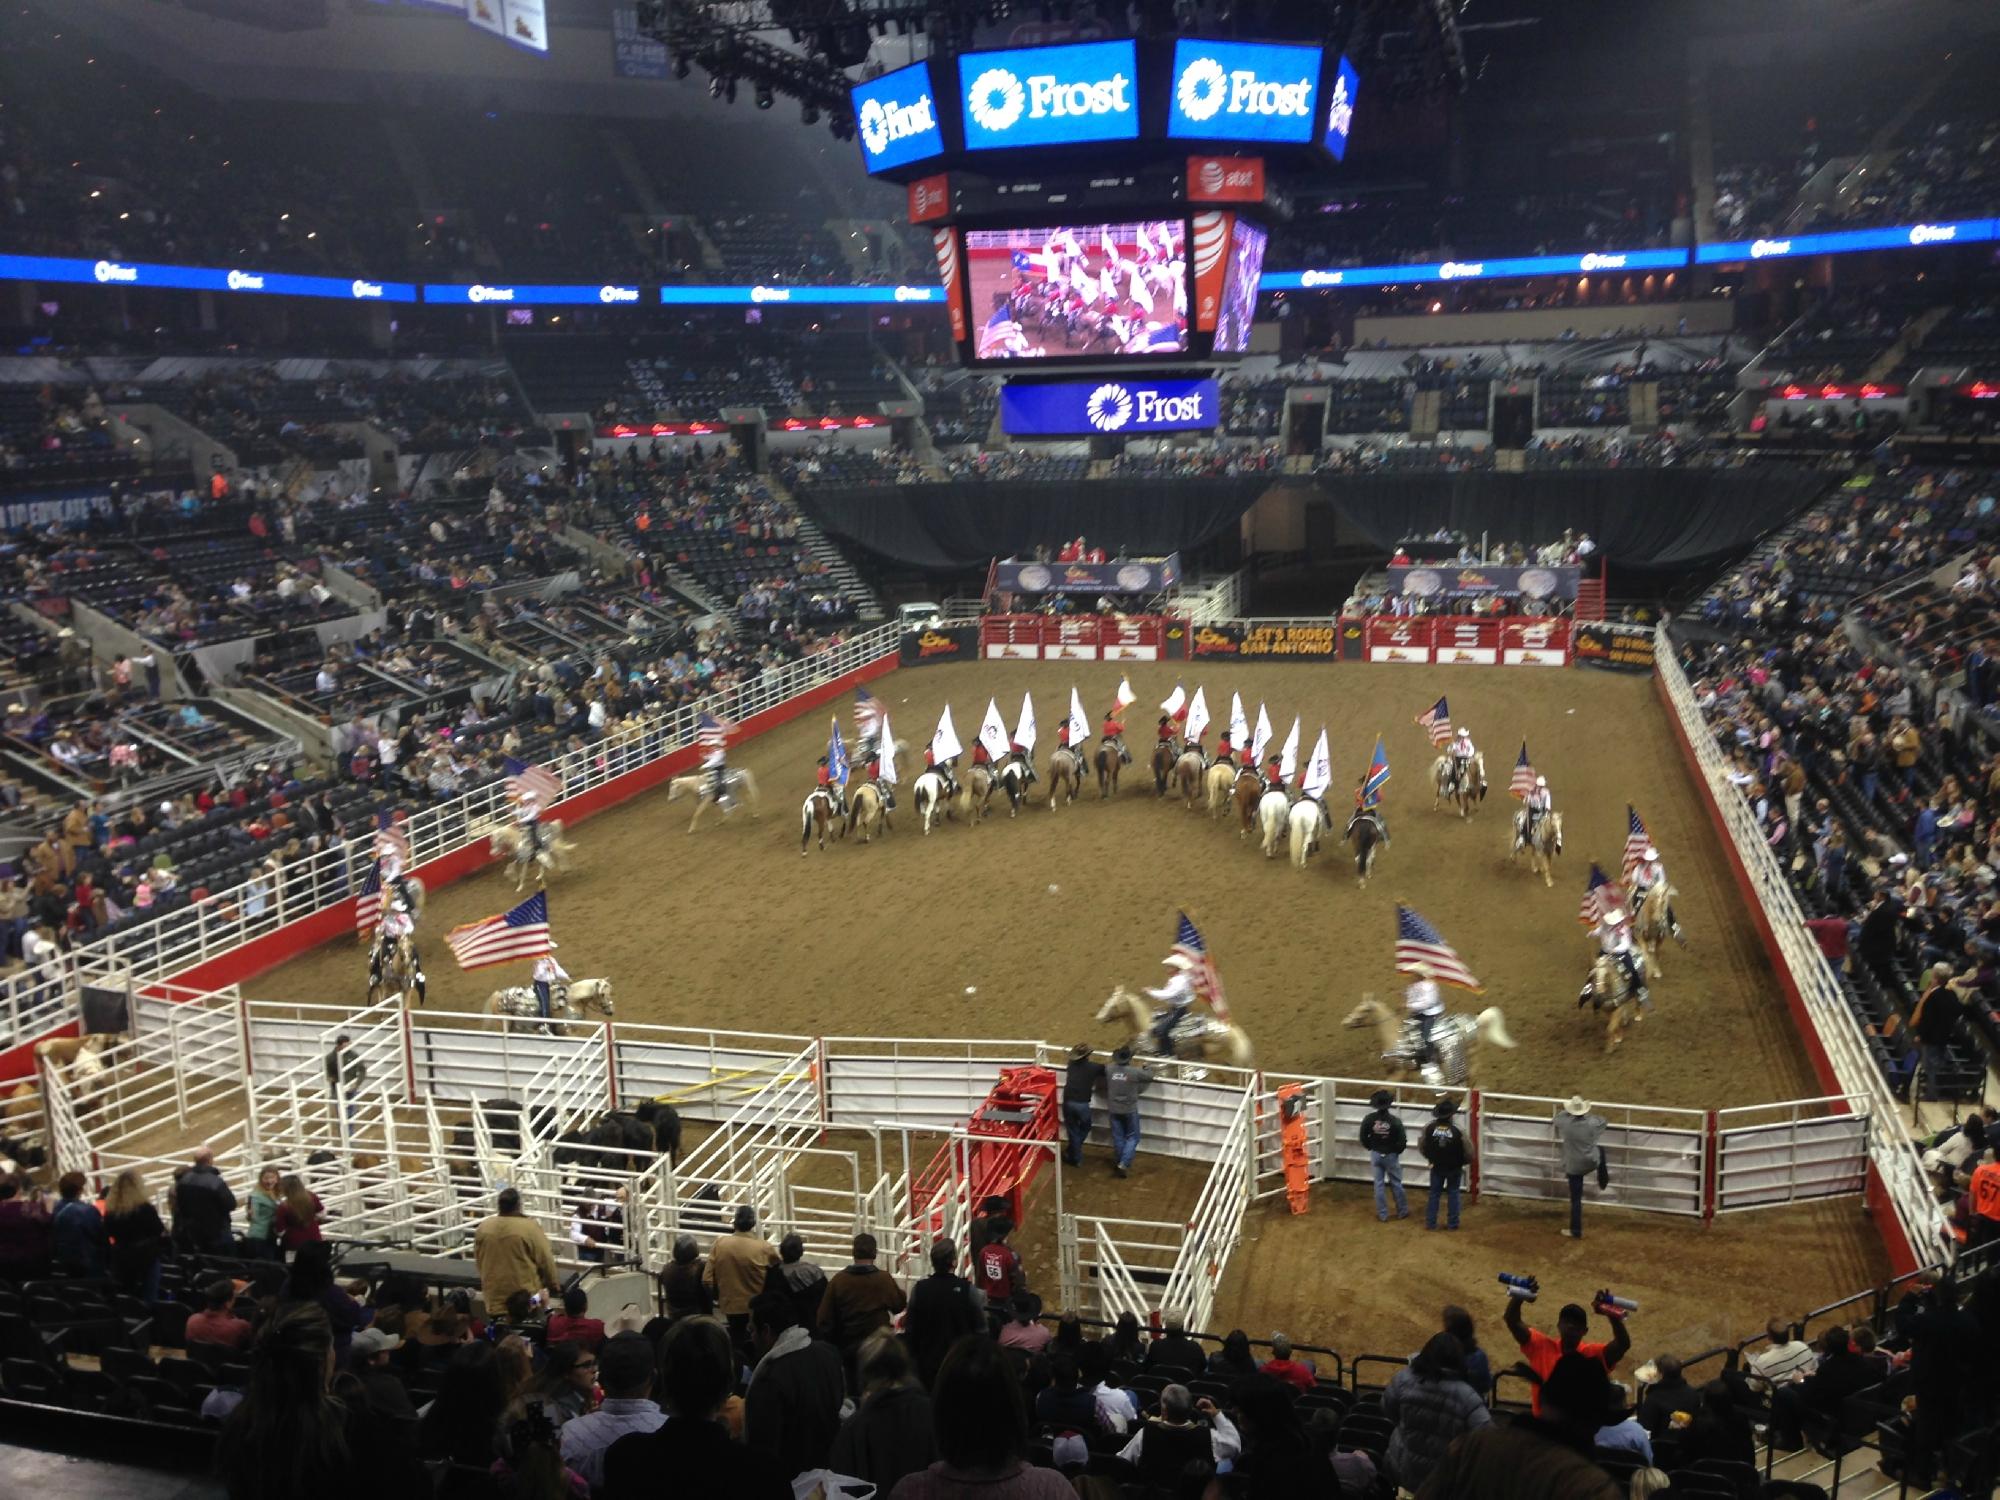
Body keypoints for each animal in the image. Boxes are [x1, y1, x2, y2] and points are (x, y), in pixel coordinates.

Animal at [1096, 988, 1248, 1072]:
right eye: (1107, 1002)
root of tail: (1230, 1030)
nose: (1099, 1018)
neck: (1144, 1026)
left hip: (1215, 1056)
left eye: (1113, 1005)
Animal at [1344, 1000, 1512, 1096]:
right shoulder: (1401, 1074)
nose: (1346, 1022)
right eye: (1356, 1007)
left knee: (1471, 1080)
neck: (1394, 1036)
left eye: (1364, 1010)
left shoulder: (1400, 1072)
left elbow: (1383, 1089)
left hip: (1466, 1057)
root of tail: (1477, 1022)